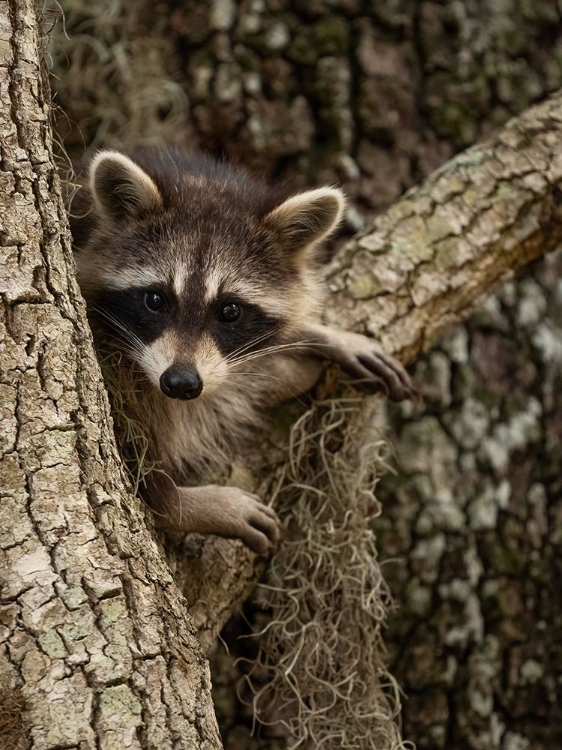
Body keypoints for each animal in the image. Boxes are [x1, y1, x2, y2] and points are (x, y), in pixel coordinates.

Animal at [70, 150, 412, 556]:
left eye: (230, 310)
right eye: (155, 299)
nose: (181, 383)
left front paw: (320, 334)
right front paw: (184, 504)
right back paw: (180, 502)